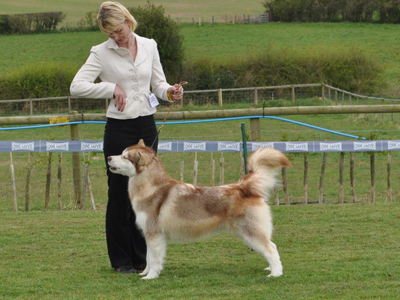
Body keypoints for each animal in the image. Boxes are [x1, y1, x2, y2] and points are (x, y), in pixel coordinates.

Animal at [108, 139, 290, 280]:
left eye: (124, 157)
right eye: (121, 153)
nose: (109, 157)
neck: (150, 187)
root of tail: (243, 187)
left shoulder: (154, 234)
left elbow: (153, 259)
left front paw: (150, 276)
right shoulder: (151, 234)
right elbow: (148, 257)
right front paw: (145, 273)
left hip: (250, 231)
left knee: (270, 249)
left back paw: (276, 273)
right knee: (273, 246)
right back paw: (272, 268)